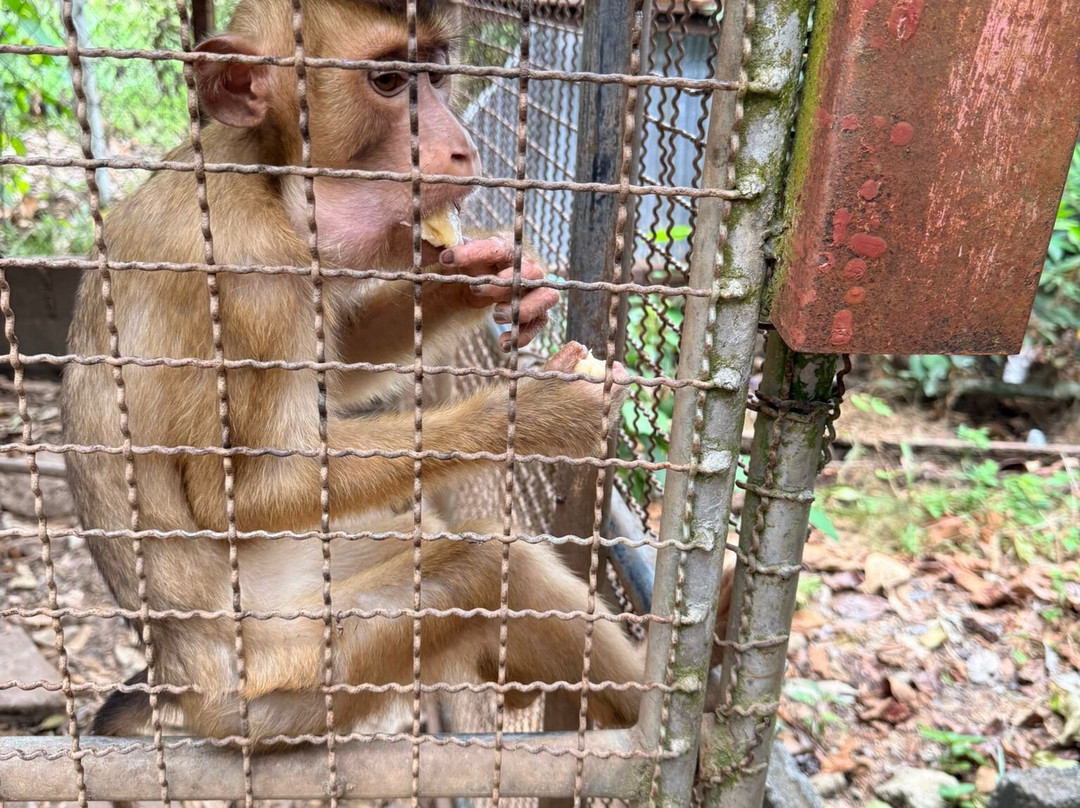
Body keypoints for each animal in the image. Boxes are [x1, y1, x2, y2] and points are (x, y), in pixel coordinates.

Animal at [63, 0, 653, 747]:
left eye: (434, 73)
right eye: (389, 82)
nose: (463, 148)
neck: (263, 171)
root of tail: (181, 678)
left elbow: (336, 371)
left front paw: (480, 277)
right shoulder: (254, 277)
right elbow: (254, 490)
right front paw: (539, 413)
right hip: (294, 672)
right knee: (484, 565)